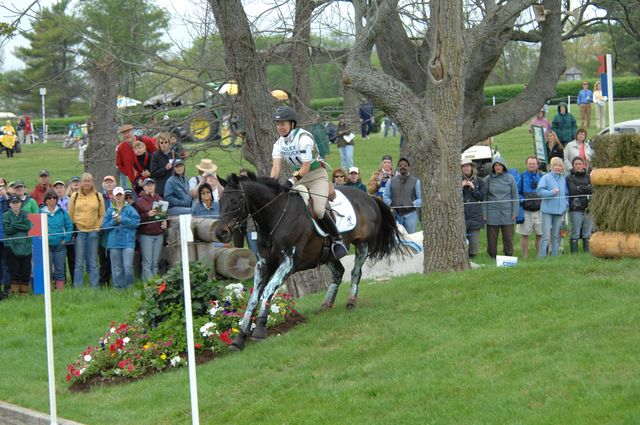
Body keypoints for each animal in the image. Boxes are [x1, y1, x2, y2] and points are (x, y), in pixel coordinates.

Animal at [215, 171, 404, 348]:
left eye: (235, 201)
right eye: (220, 201)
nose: (221, 233)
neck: (275, 216)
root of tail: (370, 197)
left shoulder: (288, 263)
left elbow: (268, 290)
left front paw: (260, 328)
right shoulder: (264, 263)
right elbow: (254, 297)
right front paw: (240, 338)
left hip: (362, 245)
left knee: (355, 273)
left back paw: (351, 302)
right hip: (328, 254)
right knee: (339, 273)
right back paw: (326, 305)